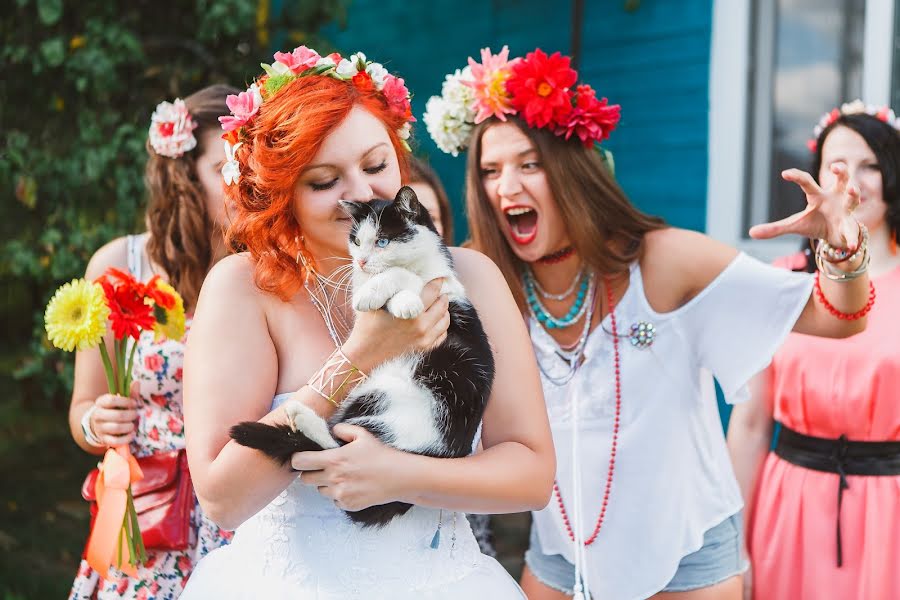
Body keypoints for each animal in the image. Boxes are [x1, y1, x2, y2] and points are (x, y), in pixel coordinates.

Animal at [232, 186, 496, 524]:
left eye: (382, 241)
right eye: (357, 241)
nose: (360, 261)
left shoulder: (448, 291)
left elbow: (402, 275)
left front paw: (402, 300)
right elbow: (386, 282)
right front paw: (380, 295)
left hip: (389, 393)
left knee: (335, 446)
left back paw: (302, 416)